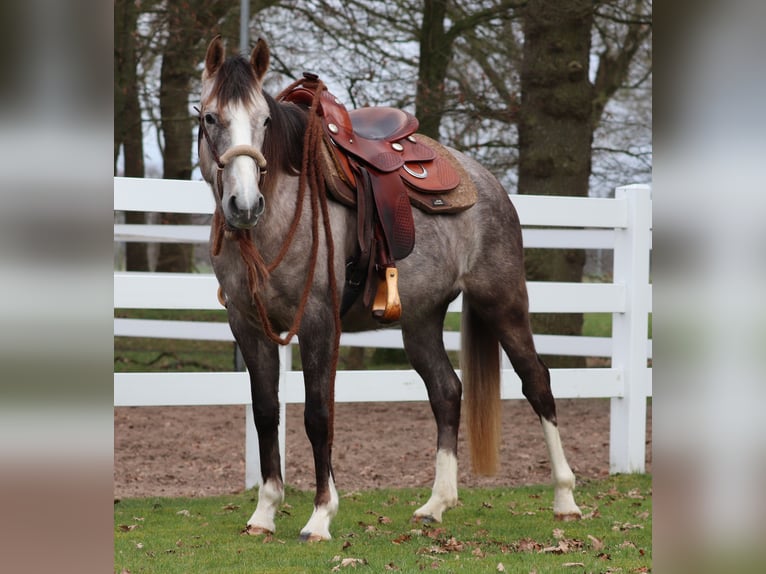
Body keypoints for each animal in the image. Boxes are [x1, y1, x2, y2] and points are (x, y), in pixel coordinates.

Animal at [198, 37, 584, 544]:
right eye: (210, 117)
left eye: (264, 120)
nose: (244, 204)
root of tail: (488, 182)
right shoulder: (248, 324)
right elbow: (265, 412)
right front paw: (264, 513)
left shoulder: (318, 321)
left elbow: (318, 415)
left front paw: (320, 516)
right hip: (421, 319)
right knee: (447, 391)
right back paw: (436, 505)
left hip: (503, 303)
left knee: (537, 382)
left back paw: (565, 498)